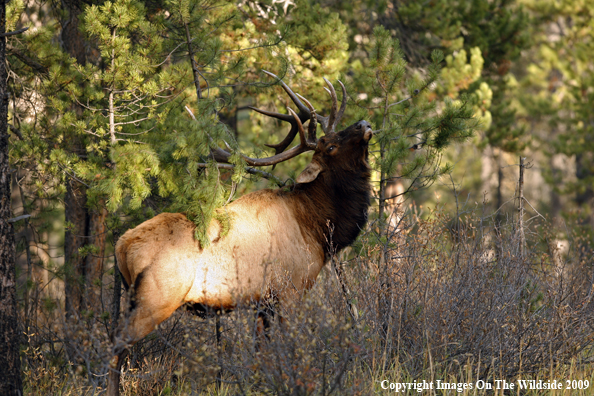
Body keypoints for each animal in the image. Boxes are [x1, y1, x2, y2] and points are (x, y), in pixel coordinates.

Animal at [106, 72, 370, 396]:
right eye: (328, 146)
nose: (364, 124)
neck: (318, 228)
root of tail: (122, 245)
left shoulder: (263, 301)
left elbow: (261, 353)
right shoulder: (292, 290)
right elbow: (290, 349)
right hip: (156, 298)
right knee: (116, 346)